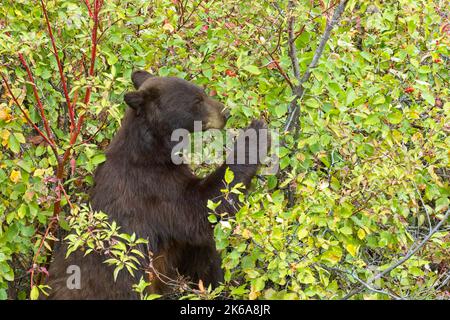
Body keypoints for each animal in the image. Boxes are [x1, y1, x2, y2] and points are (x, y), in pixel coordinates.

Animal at [47, 70, 268, 300]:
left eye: (203, 92)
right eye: (197, 100)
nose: (225, 112)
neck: (152, 150)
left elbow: (201, 251)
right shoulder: (153, 187)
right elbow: (198, 209)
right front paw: (256, 134)